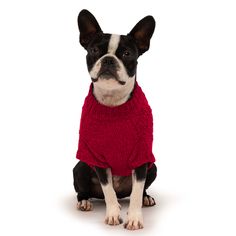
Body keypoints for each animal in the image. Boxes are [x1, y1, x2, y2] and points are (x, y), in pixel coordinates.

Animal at [72, 9, 157, 230]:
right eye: (94, 50)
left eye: (127, 54)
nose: (109, 59)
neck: (114, 104)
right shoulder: (98, 157)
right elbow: (108, 189)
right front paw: (112, 215)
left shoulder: (141, 156)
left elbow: (136, 191)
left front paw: (134, 218)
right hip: (81, 166)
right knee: (87, 191)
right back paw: (85, 201)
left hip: (153, 167)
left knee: (138, 191)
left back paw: (146, 198)